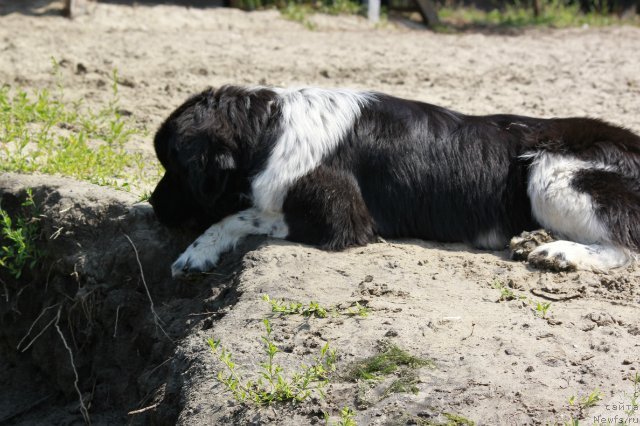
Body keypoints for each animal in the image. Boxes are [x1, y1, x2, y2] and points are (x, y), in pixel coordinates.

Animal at [149, 87, 640, 280]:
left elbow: (236, 215)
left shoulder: (339, 218)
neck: (268, 129)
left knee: (625, 245)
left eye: (174, 169)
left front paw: (196, 251)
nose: (152, 204)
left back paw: (560, 253)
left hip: (548, 174)